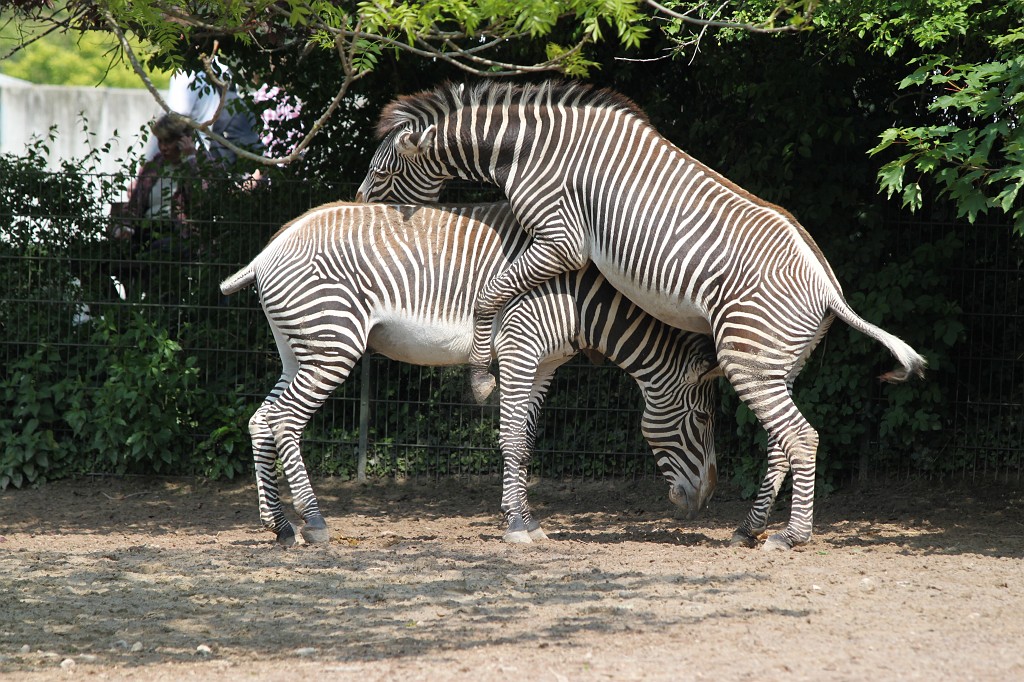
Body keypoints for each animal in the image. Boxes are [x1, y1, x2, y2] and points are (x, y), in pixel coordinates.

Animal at [219, 200, 720, 546]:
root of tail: (269, 250)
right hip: (331, 344)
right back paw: (315, 523)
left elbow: (527, 441)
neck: (584, 300)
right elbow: (513, 439)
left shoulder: (545, 365)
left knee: (261, 420)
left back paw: (280, 527)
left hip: (299, 350)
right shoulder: (520, 348)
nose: (705, 501)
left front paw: (528, 521)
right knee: (284, 422)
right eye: (702, 420)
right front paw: (517, 525)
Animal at [355, 80, 927, 551]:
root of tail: (831, 290)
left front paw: (478, 377)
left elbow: (489, 295)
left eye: (381, 172)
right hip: (773, 364)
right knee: (781, 442)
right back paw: (748, 529)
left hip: (747, 357)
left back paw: (789, 537)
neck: (526, 148)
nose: (356, 203)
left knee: (801, 438)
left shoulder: (562, 241)